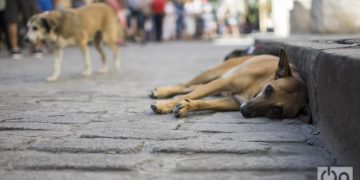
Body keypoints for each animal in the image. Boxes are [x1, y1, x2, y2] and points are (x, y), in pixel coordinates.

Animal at [150, 47, 310, 122]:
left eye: (277, 110)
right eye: (269, 89)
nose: (244, 110)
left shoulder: (231, 101)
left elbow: (203, 102)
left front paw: (187, 105)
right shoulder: (224, 82)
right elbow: (193, 95)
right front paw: (165, 105)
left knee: (189, 88)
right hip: (212, 74)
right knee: (185, 85)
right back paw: (162, 92)